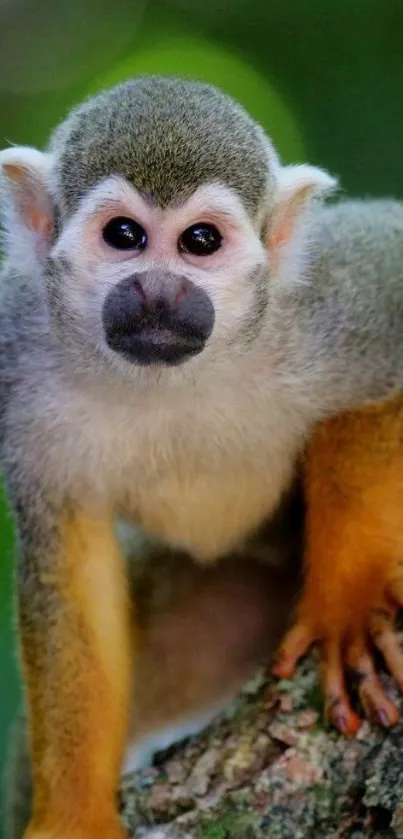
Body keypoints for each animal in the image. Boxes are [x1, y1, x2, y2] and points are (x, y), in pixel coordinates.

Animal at [1, 79, 403, 839]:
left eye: (200, 242)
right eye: (123, 236)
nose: (159, 293)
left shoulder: (333, 301)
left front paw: (348, 598)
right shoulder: (21, 364)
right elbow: (70, 568)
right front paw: (72, 813)